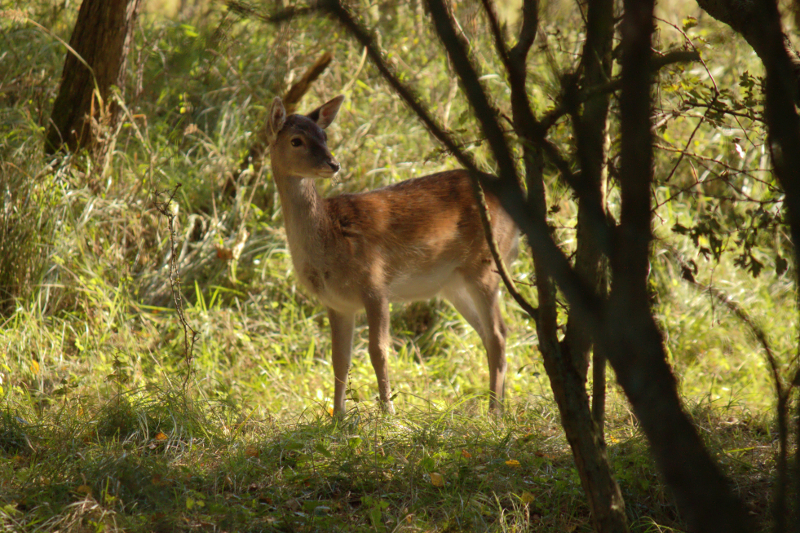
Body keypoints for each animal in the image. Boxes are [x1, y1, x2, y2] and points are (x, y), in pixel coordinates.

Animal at [268, 95, 520, 416]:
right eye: (296, 140)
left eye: (324, 135)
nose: (333, 164)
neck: (330, 239)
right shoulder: (337, 303)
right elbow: (339, 359)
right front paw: (337, 417)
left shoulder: (375, 284)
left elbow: (378, 351)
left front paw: (389, 414)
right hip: (454, 284)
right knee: (489, 334)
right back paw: (500, 404)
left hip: (485, 264)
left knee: (499, 333)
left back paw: (494, 412)